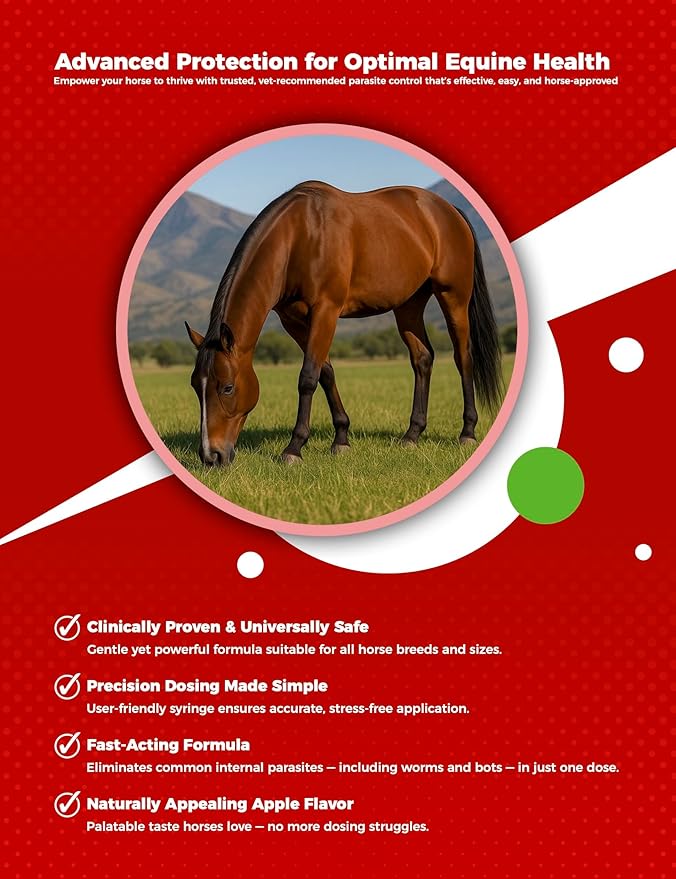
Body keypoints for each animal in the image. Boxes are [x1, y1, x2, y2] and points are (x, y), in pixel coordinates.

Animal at [185, 181, 503, 466]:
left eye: (227, 387)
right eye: (195, 386)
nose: (211, 456)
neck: (299, 237)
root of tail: (450, 211)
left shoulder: (326, 310)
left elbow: (308, 377)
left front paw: (294, 448)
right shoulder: (293, 320)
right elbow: (325, 372)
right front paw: (341, 439)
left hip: (454, 298)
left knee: (463, 358)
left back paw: (467, 432)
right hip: (408, 305)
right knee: (422, 358)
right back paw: (412, 435)